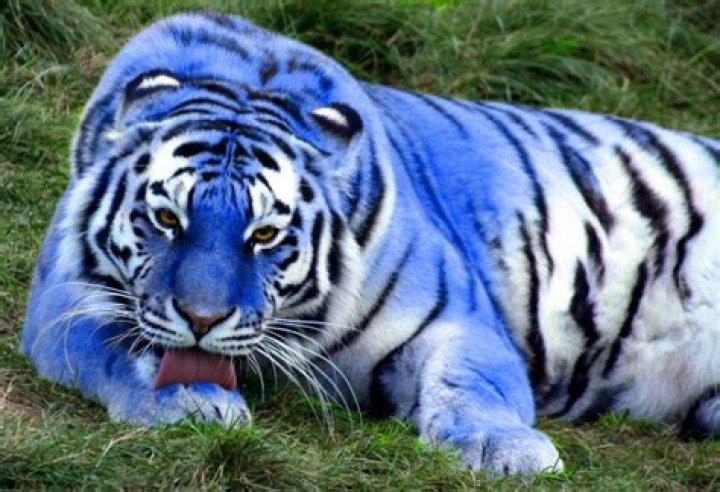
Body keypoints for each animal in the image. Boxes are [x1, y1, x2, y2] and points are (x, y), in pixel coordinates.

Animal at [21, 12, 719, 475]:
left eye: (265, 234)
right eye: (167, 220)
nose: (201, 320)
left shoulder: (456, 317)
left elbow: (474, 383)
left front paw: (505, 449)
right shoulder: (64, 297)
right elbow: (116, 349)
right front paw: (191, 401)